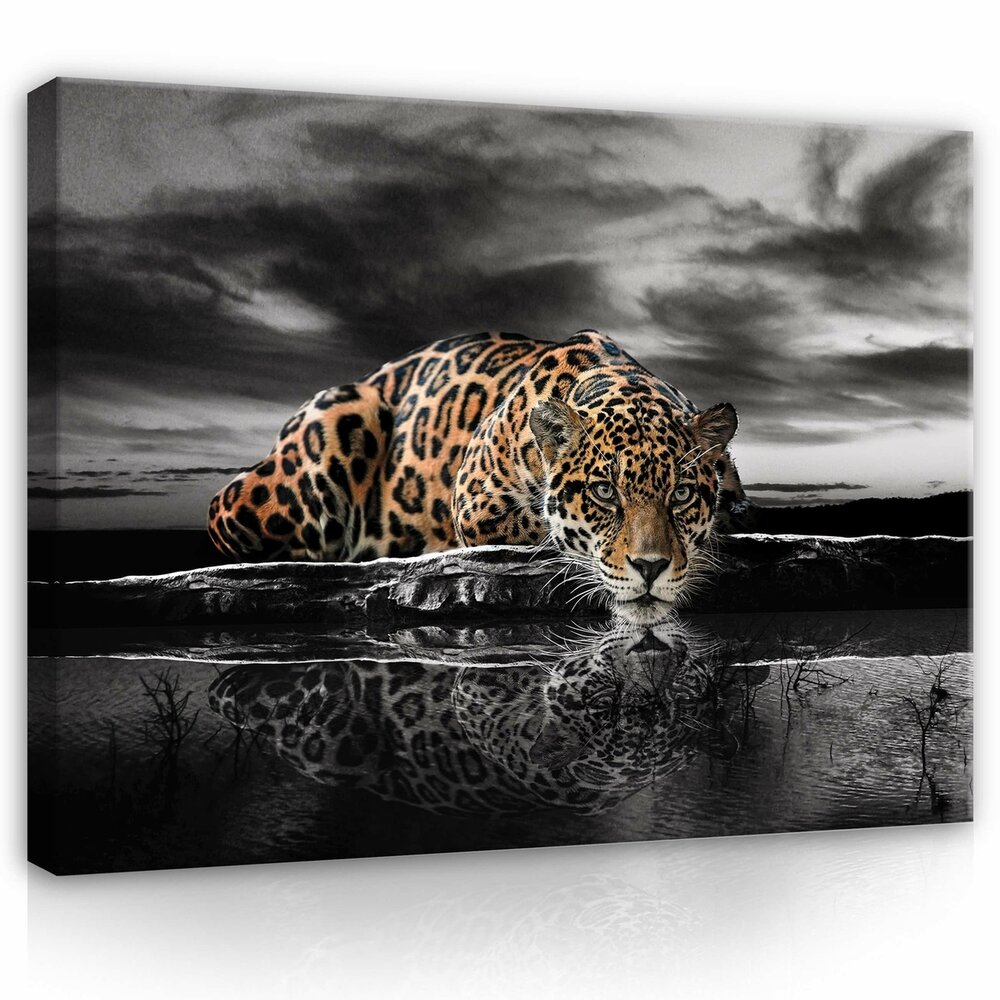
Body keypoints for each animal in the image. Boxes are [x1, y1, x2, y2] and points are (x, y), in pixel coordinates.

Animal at [207, 330, 749, 625]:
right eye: (603, 492)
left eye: (681, 494)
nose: (651, 568)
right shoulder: (475, 504)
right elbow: (545, 531)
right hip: (325, 436)